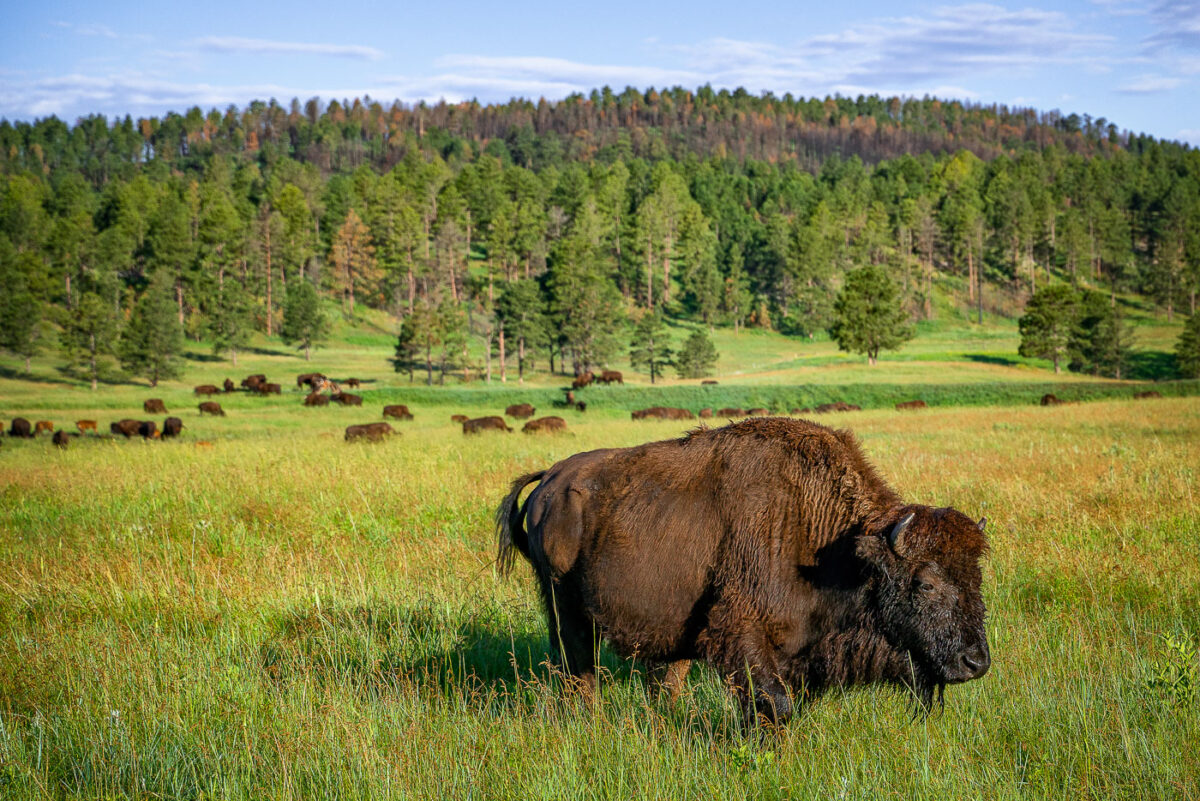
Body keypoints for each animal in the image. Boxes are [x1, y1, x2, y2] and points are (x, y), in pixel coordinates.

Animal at [496, 417, 993, 724]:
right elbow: (774, 704)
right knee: (579, 671)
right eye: (924, 583)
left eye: (976, 579)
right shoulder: (741, 632)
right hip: (563, 606)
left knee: (662, 681)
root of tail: (549, 480)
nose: (976, 662)